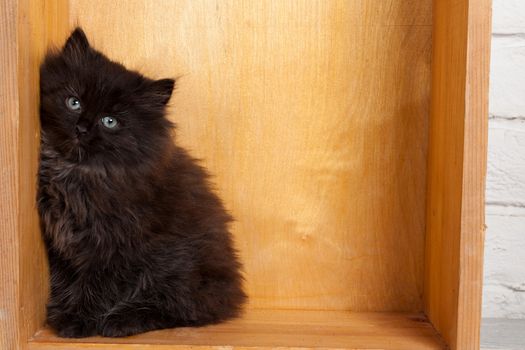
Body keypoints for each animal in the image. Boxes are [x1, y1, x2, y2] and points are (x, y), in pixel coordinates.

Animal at [36, 28, 246, 338]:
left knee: (183, 309)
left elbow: (94, 287)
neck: (78, 173)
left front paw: (77, 320)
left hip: (176, 266)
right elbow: (63, 281)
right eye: (74, 102)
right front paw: (62, 311)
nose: (81, 128)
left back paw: (123, 320)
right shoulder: (61, 246)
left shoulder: (114, 247)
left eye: (109, 121)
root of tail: (233, 289)